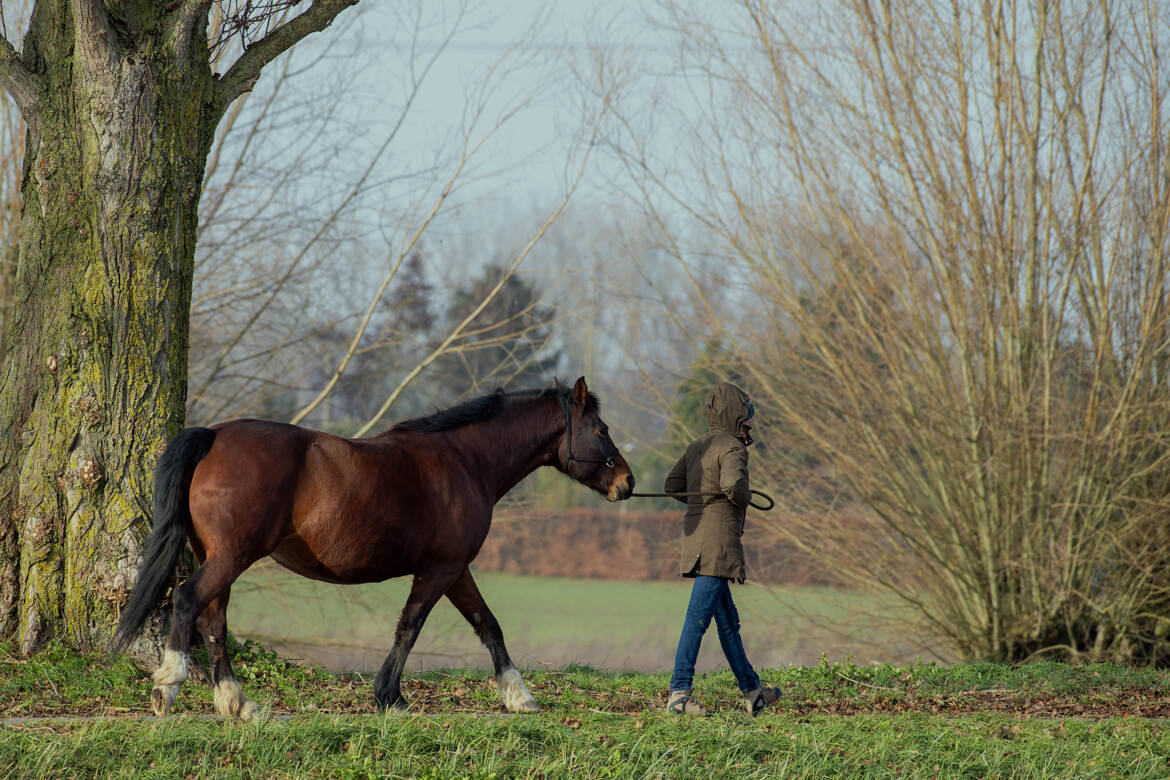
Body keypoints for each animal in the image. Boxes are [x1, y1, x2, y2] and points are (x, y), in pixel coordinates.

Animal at [110, 377, 635, 720]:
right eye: (602, 429)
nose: (627, 483)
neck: (465, 461)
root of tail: (215, 435)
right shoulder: (441, 569)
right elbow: (410, 627)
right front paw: (391, 697)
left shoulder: (456, 569)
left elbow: (488, 626)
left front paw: (518, 695)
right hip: (231, 556)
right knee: (188, 601)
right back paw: (169, 686)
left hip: (219, 557)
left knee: (214, 621)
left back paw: (239, 704)